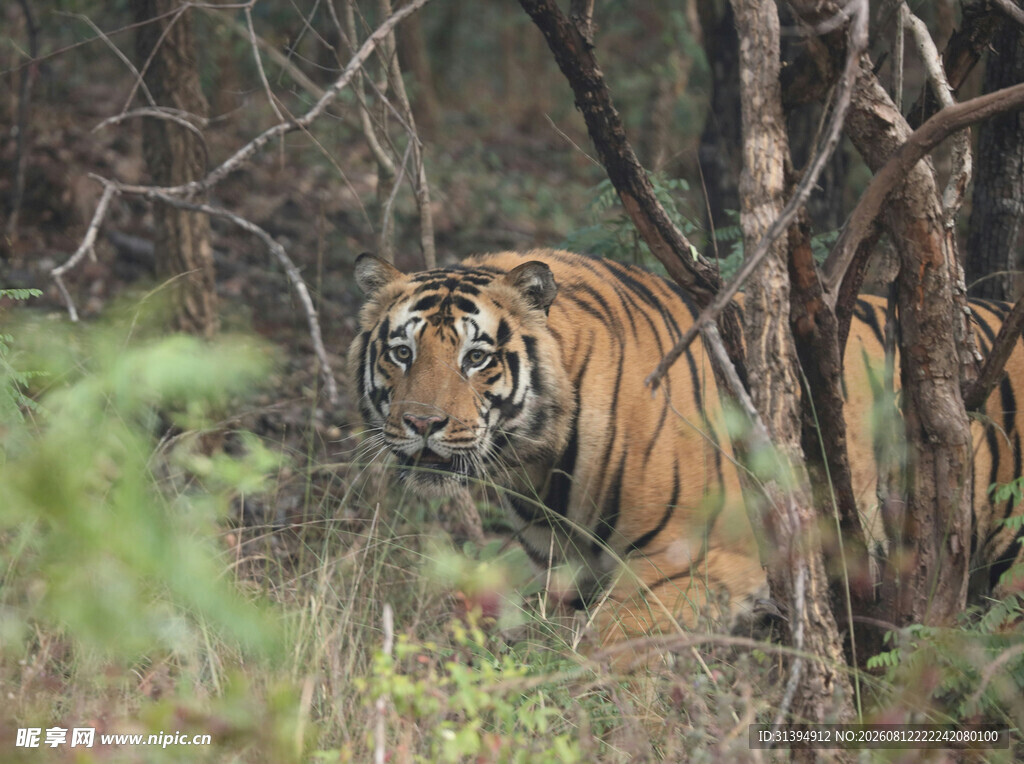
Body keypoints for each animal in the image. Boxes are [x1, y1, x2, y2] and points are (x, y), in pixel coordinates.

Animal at [348, 248, 1024, 642]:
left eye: (476, 357)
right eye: (402, 352)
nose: (423, 423)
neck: (536, 465)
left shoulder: (691, 564)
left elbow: (608, 651)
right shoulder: (546, 564)